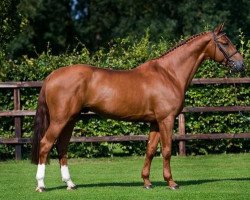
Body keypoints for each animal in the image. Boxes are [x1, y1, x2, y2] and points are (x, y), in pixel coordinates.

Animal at [31, 24, 244, 191]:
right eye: (225, 43)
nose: (241, 64)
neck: (169, 73)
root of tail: (52, 75)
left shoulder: (155, 122)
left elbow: (150, 150)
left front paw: (147, 182)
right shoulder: (166, 120)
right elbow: (167, 150)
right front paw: (171, 182)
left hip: (71, 119)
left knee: (62, 146)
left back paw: (70, 184)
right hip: (60, 119)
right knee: (46, 144)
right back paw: (41, 185)